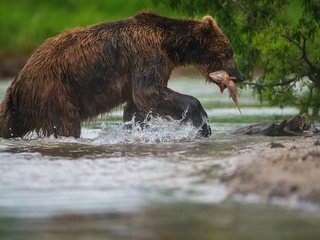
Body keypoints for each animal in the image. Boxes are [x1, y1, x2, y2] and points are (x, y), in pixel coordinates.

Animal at [0, 12, 242, 138]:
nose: (239, 76)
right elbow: (149, 92)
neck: (171, 47)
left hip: (20, 108)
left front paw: (134, 129)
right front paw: (203, 124)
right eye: (228, 52)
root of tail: (17, 80)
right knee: (66, 123)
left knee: (8, 125)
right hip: (54, 90)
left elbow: (137, 106)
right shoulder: (145, 55)